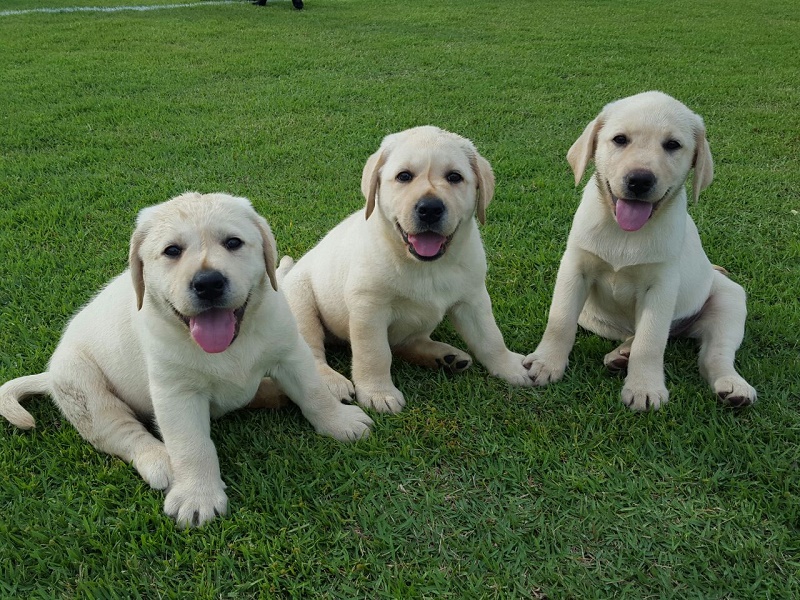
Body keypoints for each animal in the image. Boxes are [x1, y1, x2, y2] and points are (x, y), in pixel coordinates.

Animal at [0, 192, 374, 524]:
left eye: (233, 243)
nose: (208, 283)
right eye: (172, 251)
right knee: (122, 433)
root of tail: (49, 375)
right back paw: (161, 462)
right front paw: (197, 496)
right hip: (83, 388)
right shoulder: (175, 392)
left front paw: (340, 422)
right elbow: (191, 444)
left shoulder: (290, 353)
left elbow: (313, 391)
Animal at [278, 125, 536, 414]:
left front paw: (510, 367)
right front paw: (378, 393)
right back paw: (332, 382)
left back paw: (445, 357)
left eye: (454, 177)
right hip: (301, 303)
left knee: (404, 344)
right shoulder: (369, 309)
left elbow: (490, 337)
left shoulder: (473, 299)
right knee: (311, 353)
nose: (430, 209)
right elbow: (375, 354)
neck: (426, 266)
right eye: (404, 176)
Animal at [524, 92, 756, 412]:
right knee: (633, 333)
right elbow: (560, 320)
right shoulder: (574, 268)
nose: (640, 180)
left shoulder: (661, 285)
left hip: (729, 299)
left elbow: (651, 340)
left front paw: (644, 387)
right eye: (620, 139)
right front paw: (546, 363)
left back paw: (732, 386)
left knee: (713, 353)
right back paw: (621, 354)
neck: (624, 233)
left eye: (672, 145)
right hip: (593, 317)